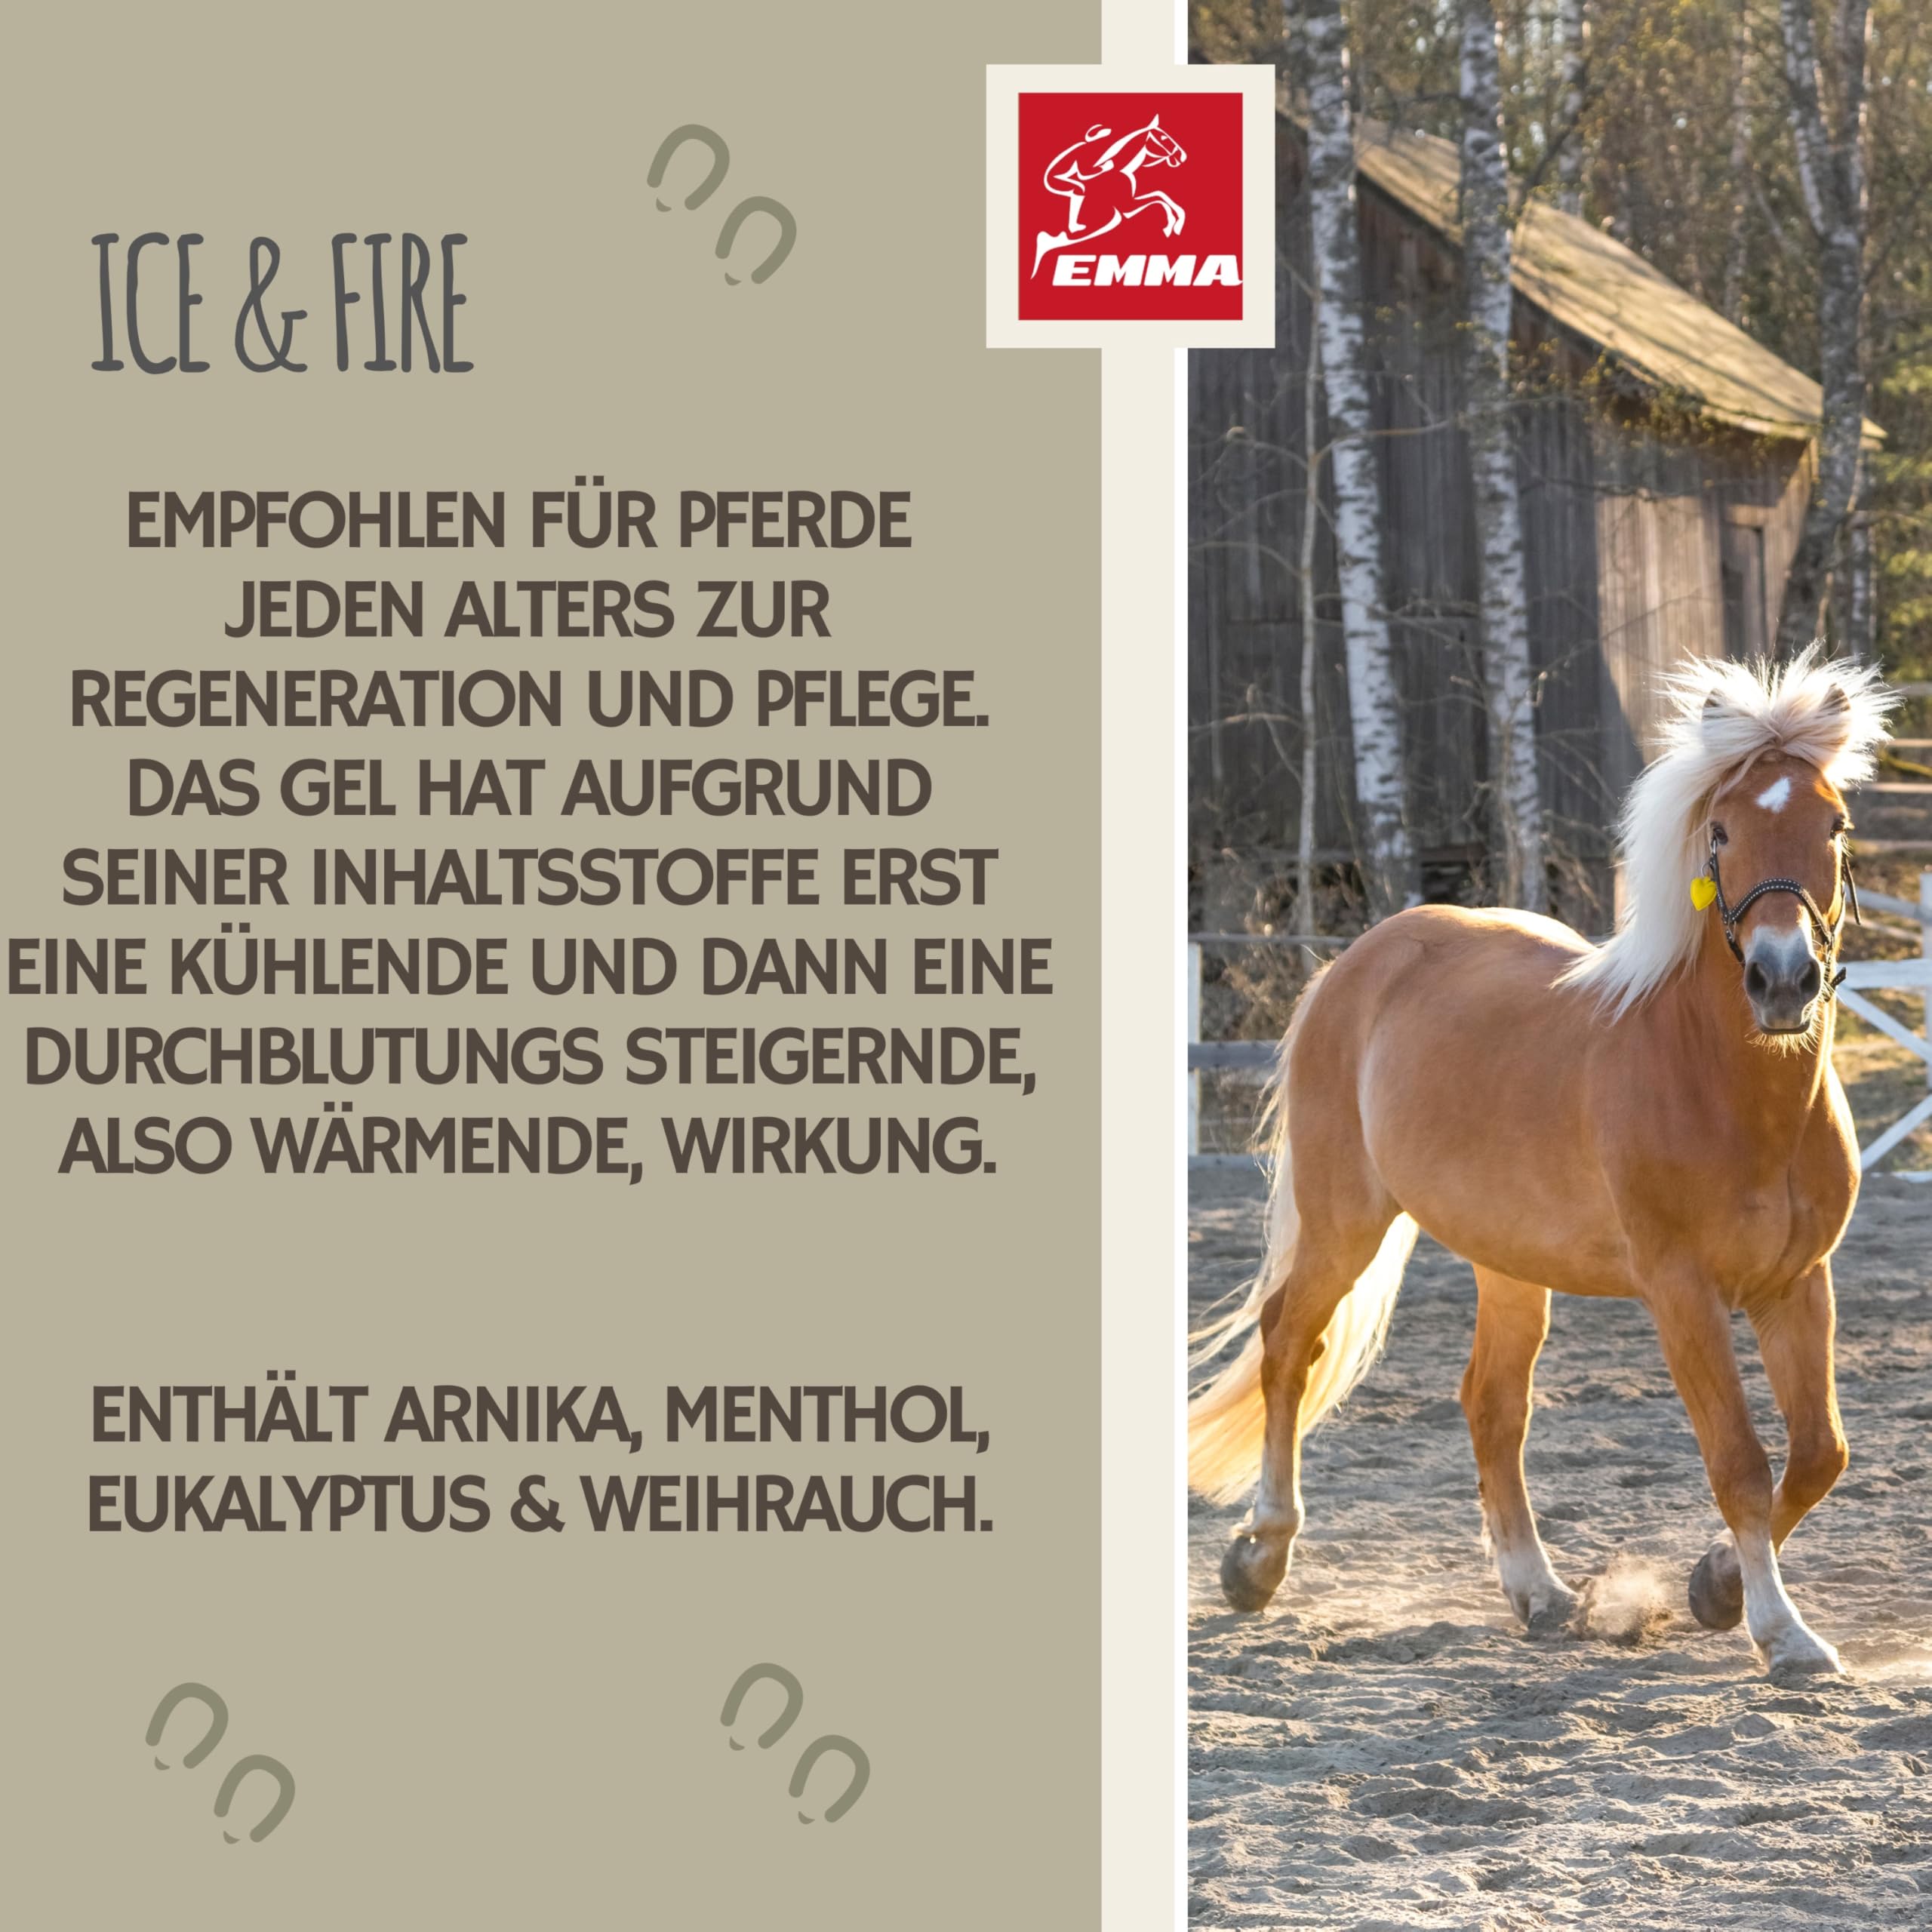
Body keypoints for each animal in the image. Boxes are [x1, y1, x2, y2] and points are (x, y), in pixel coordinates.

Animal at [1031, 118, 1187, 278]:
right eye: (1164, 138)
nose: (1182, 156)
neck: (1121, 169)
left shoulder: (1130, 204)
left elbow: (1161, 195)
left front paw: (1176, 224)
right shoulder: (1128, 206)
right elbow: (1159, 198)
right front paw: (1171, 226)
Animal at [1187, 650, 1897, 1676]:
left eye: (1832, 824)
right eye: (1720, 830)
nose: (1781, 980)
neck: (1726, 1089)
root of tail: (1357, 962)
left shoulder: (1797, 1283)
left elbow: (1818, 1454)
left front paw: (1715, 1586)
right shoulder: (1681, 1292)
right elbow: (1740, 1460)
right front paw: (1781, 1631)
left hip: (1509, 1263)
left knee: (1491, 1405)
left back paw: (1539, 1593)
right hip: (1342, 1218)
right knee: (1289, 1343)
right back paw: (1259, 1558)